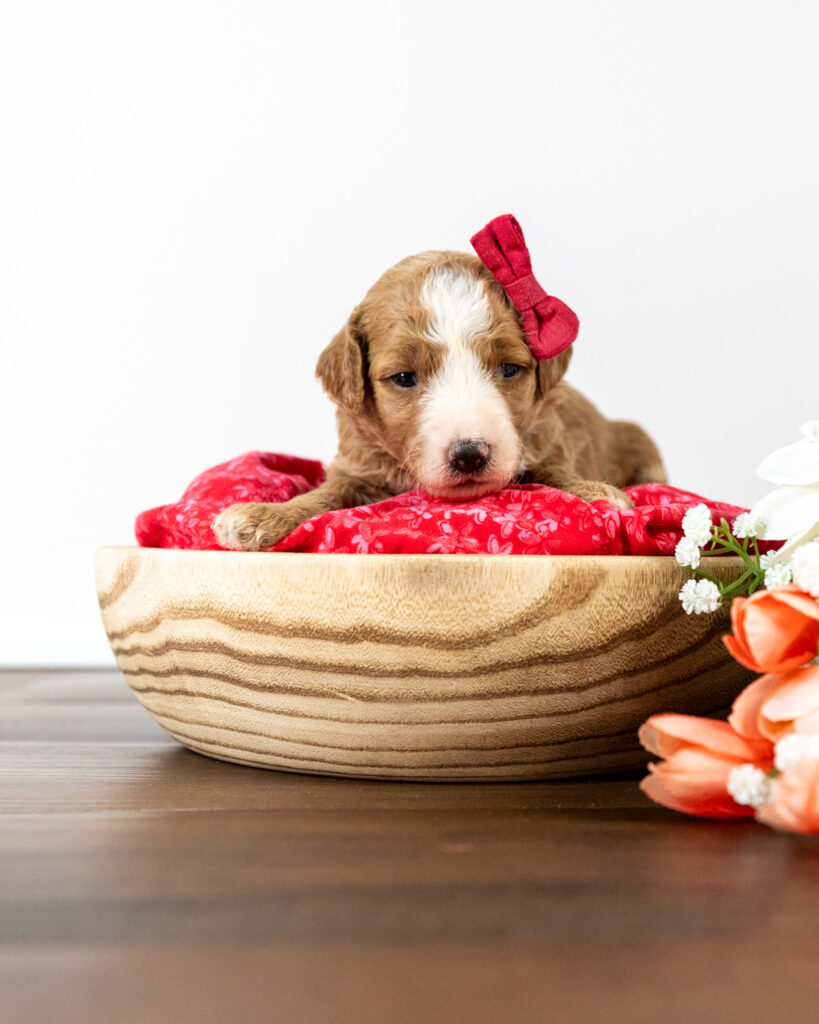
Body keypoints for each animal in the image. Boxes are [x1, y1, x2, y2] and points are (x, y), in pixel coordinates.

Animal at [213, 249, 666, 551]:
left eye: (509, 369)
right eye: (403, 378)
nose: (469, 455)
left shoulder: (547, 441)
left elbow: (551, 472)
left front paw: (596, 493)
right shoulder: (356, 466)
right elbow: (324, 495)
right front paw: (262, 515)